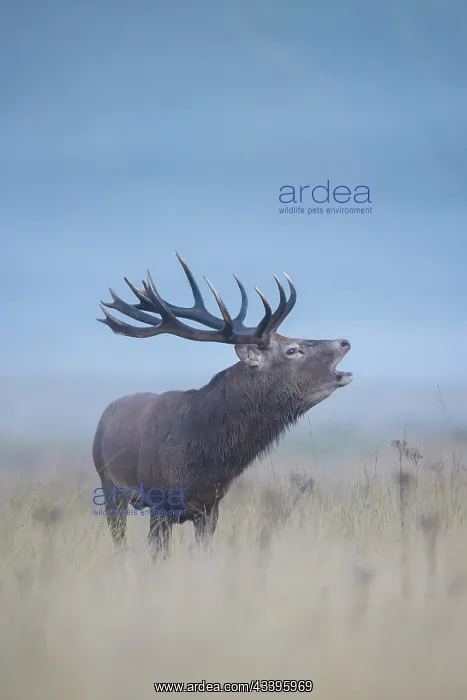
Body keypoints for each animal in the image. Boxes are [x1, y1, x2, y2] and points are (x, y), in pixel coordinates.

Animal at [92, 252, 353, 558]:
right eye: (292, 350)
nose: (344, 342)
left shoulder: (211, 507)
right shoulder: (159, 503)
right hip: (107, 483)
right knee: (118, 539)